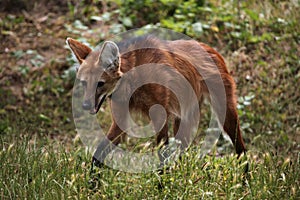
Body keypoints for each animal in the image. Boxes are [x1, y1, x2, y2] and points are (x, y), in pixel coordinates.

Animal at [67, 35, 246, 168]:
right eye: (84, 83)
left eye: (100, 83)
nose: (85, 105)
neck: (132, 81)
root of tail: (211, 48)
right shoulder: (122, 120)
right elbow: (98, 155)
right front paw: (92, 186)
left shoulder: (160, 114)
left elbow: (162, 154)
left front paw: (163, 185)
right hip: (183, 115)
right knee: (182, 150)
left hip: (224, 111)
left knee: (241, 150)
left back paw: (245, 181)